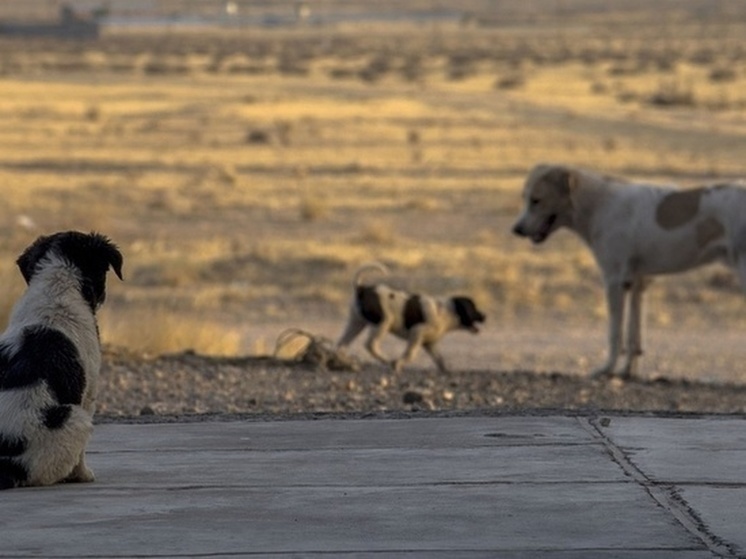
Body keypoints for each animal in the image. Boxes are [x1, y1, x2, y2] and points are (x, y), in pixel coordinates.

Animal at [334, 264, 486, 376]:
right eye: (473, 308)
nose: (485, 316)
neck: (447, 312)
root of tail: (362, 288)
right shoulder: (417, 333)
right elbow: (410, 354)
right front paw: (398, 364)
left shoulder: (430, 344)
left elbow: (440, 359)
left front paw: (446, 370)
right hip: (383, 322)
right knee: (371, 345)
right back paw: (387, 360)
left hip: (356, 323)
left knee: (342, 344)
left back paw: (343, 360)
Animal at [512, 163, 744, 380]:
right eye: (524, 197)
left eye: (536, 200)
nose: (516, 230)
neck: (598, 205)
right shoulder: (636, 283)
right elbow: (634, 335)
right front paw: (627, 372)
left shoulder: (614, 282)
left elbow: (615, 333)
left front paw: (606, 369)